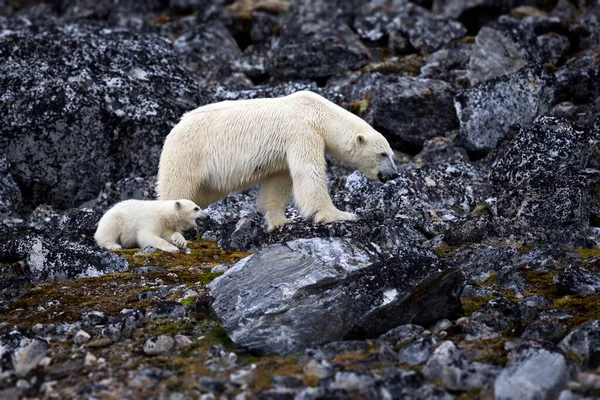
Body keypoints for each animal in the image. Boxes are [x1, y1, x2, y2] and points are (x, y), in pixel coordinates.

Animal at [157, 89, 396, 230]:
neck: (319, 112)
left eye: (391, 154)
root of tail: (176, 127)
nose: (393, 174)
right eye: (383, 154)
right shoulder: (302, 131)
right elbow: (309, 172)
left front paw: (281, 221)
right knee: (176, 188)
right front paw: (340, 215)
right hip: (188, 153)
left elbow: (280, 182)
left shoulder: (284, 150)